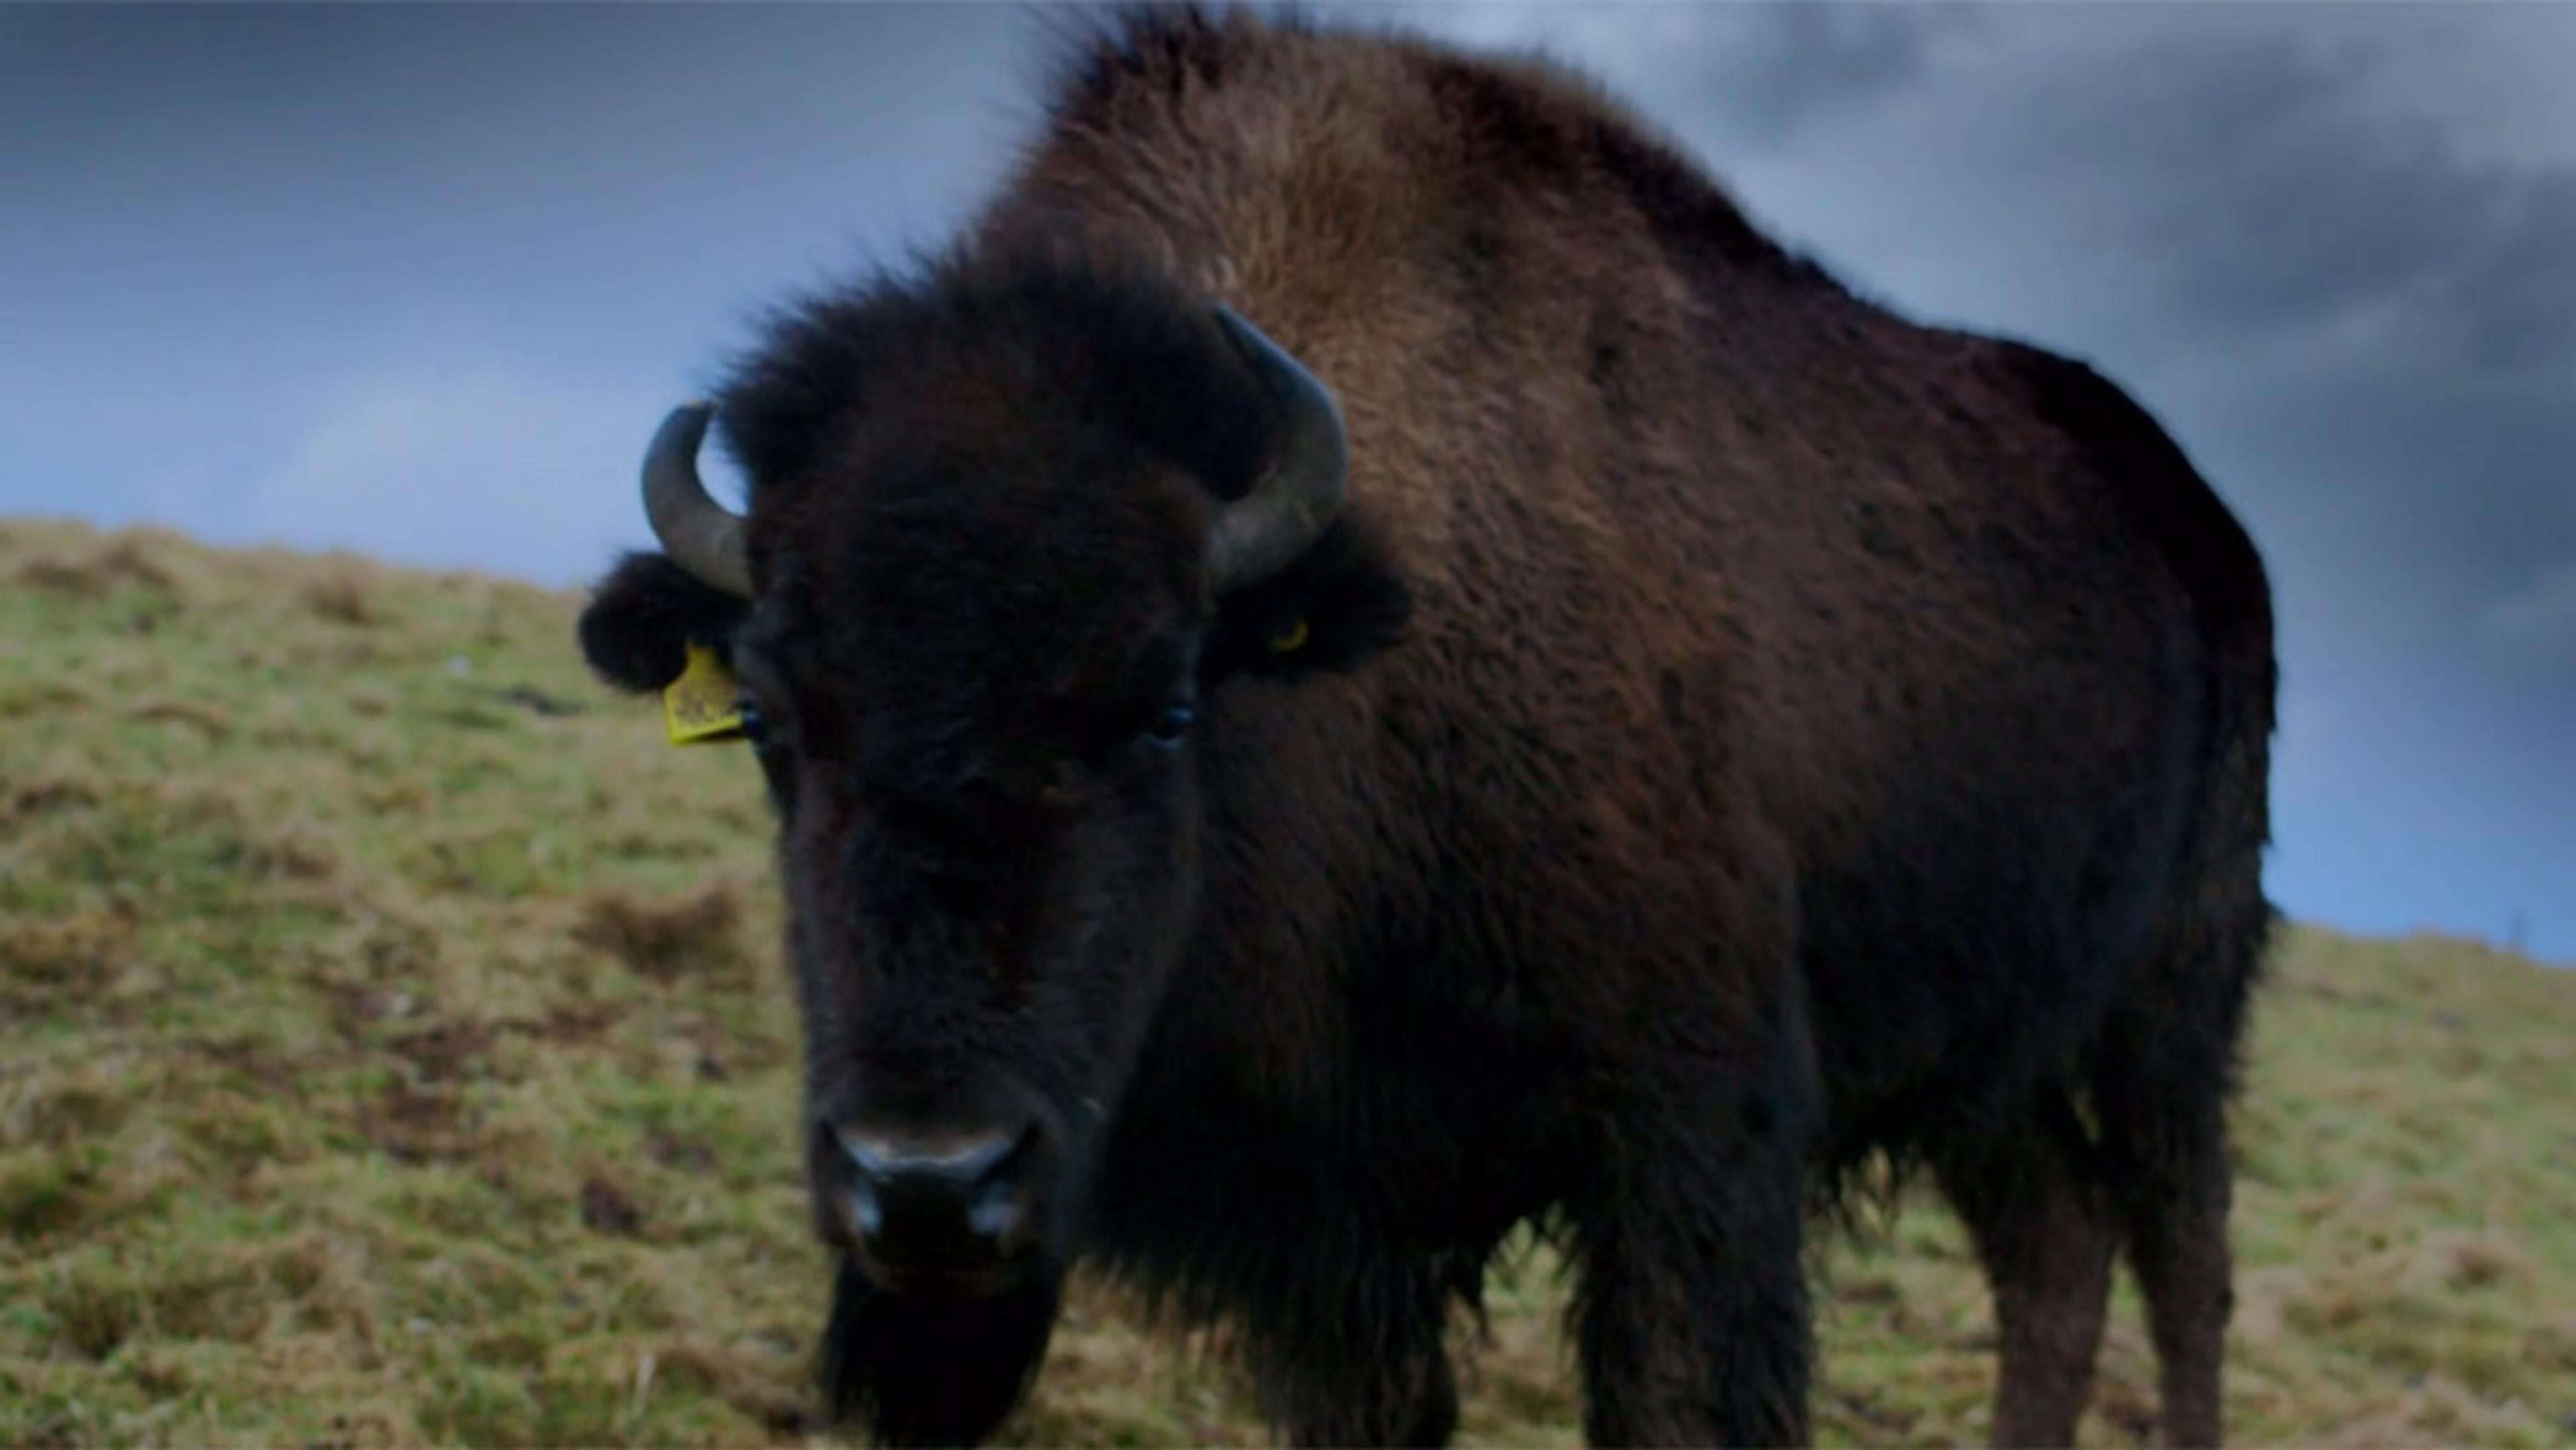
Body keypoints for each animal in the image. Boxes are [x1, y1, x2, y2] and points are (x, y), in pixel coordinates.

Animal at [575, 7, 2278, 1446]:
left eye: (1168, 703)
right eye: (770, 718)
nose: (927, 1184)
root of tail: (2201, 518)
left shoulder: (1689, 1146)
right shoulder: (1341, 1236)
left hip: (2175, 997)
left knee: (2182, 1262)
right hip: (1991, 1048)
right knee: (2055, 1240)